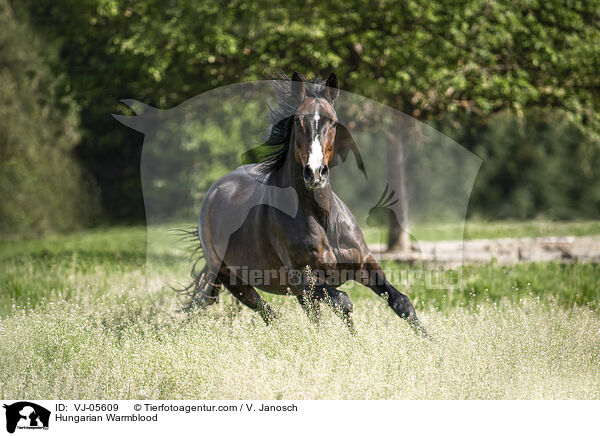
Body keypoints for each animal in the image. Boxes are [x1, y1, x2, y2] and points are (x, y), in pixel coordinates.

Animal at [190, 73, 428, 336]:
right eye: (297, 121)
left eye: (333, 122)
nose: (314, 173)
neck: (323, 219)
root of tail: (215, 192)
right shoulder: (306, 280)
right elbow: (344, 302)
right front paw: (355, 342)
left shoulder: (364, 264)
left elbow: (401, 302)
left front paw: (431, 342)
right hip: (235, 280)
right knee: (269, 313)